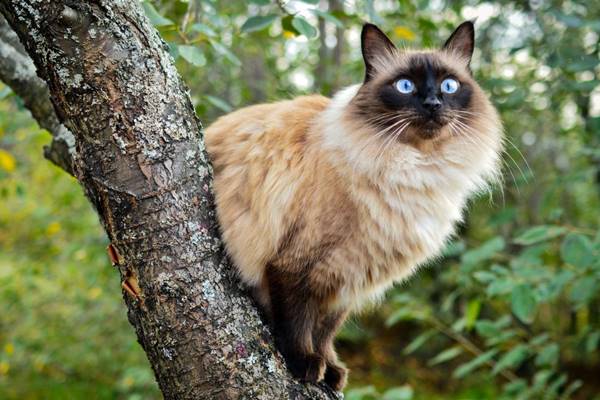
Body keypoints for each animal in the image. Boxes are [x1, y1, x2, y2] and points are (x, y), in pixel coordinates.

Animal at [205, 19, 502, 390]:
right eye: (405, 86)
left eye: (449, 86)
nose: (433, 103)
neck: (417, 170)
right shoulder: (296, 265)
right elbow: (298, 322)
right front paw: (305, 364)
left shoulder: (347, 275)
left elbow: (325, 331)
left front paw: (331, 370)